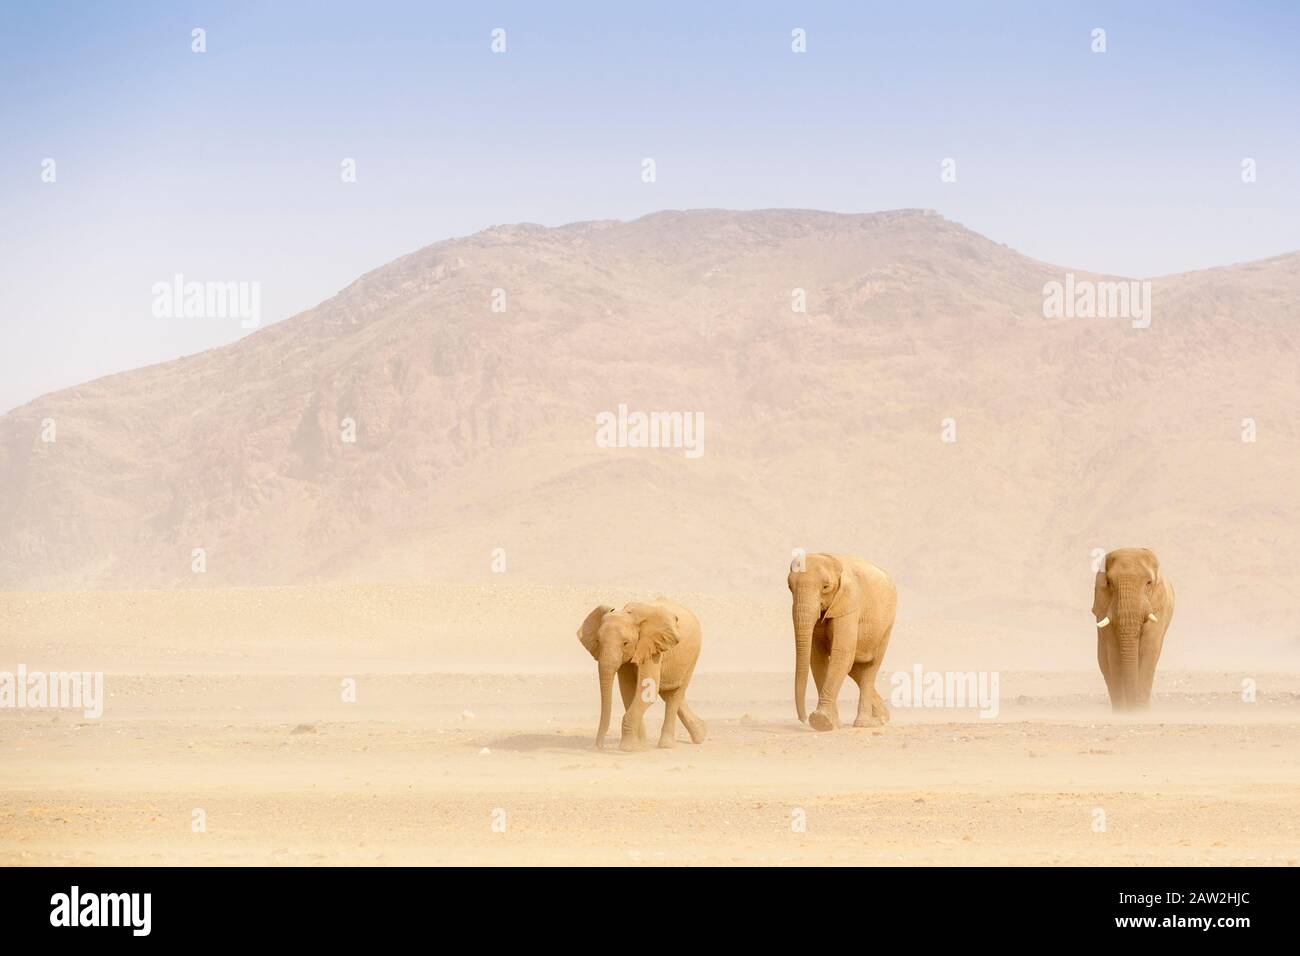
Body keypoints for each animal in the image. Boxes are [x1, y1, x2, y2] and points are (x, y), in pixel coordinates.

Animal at [576, 599, 707, 751]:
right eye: (598, 641)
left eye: (625, 643)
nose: (599, 746)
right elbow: (628, 691)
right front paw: (640, 746)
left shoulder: (652, 648)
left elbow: (647, 691)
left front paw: (627, 748)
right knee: (667, 692)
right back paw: (701, 735)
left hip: (692, 654)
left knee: (675, 694)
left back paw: (666, 745)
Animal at [788, 553, 897, 731]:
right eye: (790, 586)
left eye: (826, 587)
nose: (803, 719)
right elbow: (817, 659)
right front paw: (833, 723)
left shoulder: (850, 604)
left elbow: (842, 654)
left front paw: (821, 721)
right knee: (855, 668)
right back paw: (882, 718)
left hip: (887, 626)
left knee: (870, 668)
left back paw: (865, 724)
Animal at [1092, 548, 1175, 712]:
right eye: (1109, 583)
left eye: (1149, 583)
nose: (1132, 707)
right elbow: (1113, 653)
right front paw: (1125, 712)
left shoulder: (1158, 608)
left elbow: (1148, 650)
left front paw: (1139, 712)